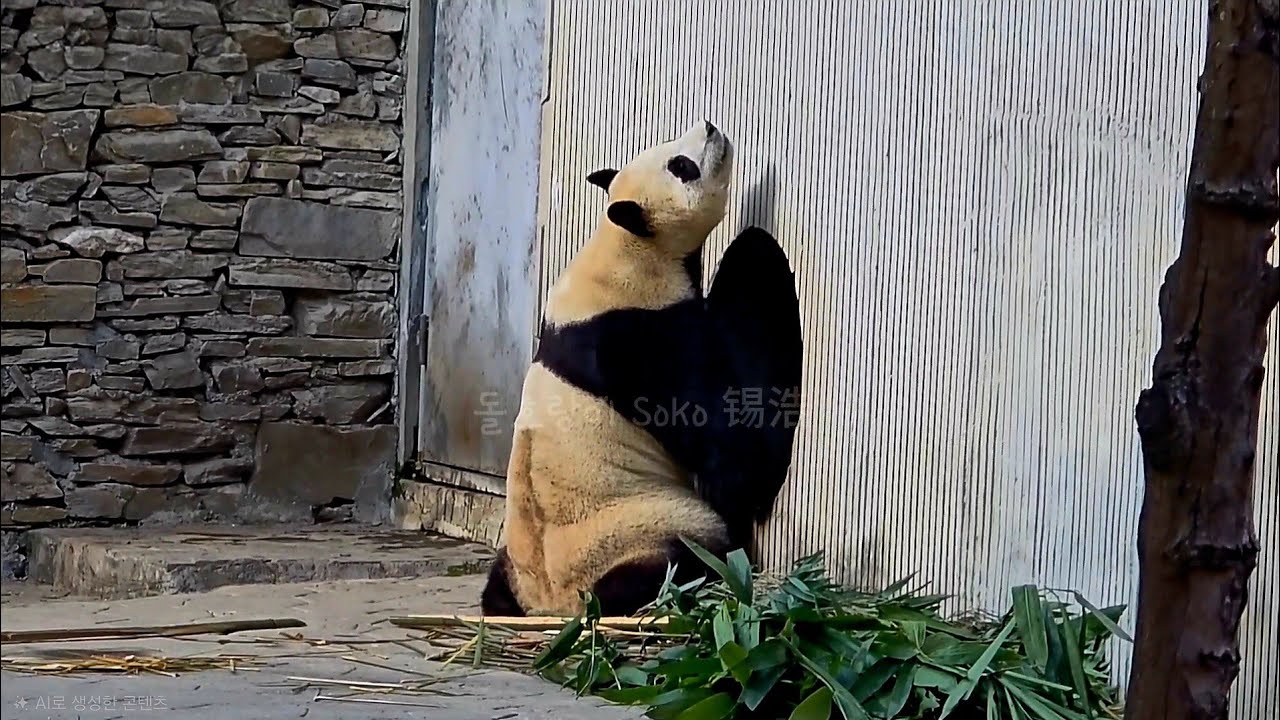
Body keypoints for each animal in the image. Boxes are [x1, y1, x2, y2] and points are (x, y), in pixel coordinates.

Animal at [481, 120, 803, 617]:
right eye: (681, 165)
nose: (710, 126)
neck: (625, 250)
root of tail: (551, 606)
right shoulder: (641, 341)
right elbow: (729, 442)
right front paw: (757, 255)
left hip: (519, 561)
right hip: (646, 526)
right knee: (674, 561)